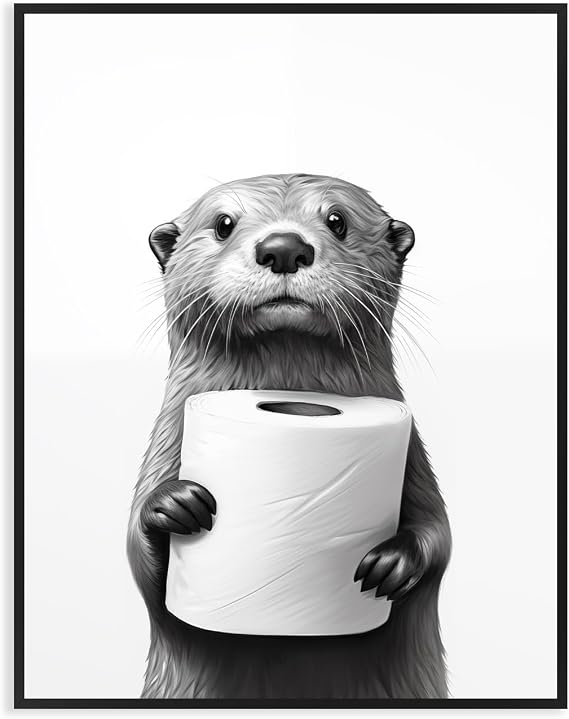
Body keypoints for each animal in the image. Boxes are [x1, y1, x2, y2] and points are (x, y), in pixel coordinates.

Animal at [127, 173, 451, 700]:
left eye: (337, 220)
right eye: (223, 223)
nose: (283, 247)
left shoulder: (414, 461)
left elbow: (439, 535)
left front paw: (393, 563)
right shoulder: (165, 445)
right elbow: (140, 561)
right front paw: (173, 504)